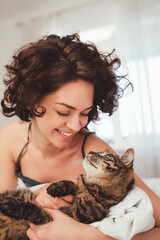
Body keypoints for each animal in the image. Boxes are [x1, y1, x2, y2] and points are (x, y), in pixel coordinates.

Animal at [0, 147, 134, 239]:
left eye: (106, 156)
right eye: (98, 151)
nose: (90, 151)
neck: (91, 189)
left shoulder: (55, 218)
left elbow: (33, 209)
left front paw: (9, 205)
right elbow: (72, 183)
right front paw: (56, 187)